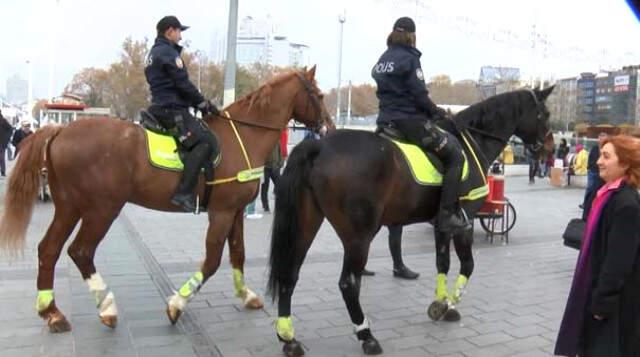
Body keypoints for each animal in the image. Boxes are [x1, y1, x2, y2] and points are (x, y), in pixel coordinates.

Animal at [0, 66, 332, 330]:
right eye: (319, 95)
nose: (330, 128)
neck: (243, 136)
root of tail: (60, 130)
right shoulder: (221, 213)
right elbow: (212, 261)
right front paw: (177, 304)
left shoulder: (236, 211)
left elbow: (238, 254)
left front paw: (247, 294)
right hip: (102, 209)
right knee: (80, 251)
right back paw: (106, 307)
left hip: (70, 207)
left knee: (49, 250)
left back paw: (52, 312)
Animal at [268, 85, 552, 354]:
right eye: (546, 114)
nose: (548, 147)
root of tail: (319, 146)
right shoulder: (466, 221)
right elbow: (467, 265)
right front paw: (450, 304)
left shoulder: (442, 225)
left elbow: (443, 263)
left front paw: (440, 303)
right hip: (359, 236)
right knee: (348, 283)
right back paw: (366, 335)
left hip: (306, 224)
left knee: (290, 272)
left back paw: (288, 337)